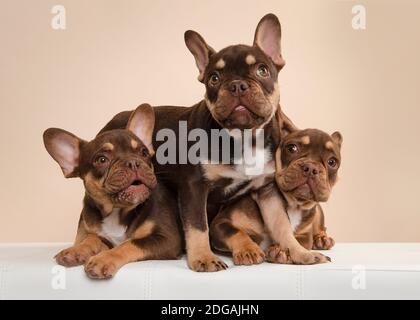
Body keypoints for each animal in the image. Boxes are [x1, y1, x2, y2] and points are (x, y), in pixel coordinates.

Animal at [43, 104, 181, 278]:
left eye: (143, 152)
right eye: (102, 160)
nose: (133, 162)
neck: (117, 210)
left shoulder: (166, 238)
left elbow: (128, 244)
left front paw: (104, 259)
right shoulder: (103, 236)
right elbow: (92, 238)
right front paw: (76, 250)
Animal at [98, 13, 324, 272]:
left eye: (262, 70)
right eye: (214, 78)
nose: (237, 85)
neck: (244, 138)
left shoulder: (268, 191)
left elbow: (282, 226)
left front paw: (300, 253)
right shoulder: (194, 187)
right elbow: (198, 226)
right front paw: (203, 257)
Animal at [210, 125, 342, 264]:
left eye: (332, 162)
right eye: (292, 148)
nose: (311, 168)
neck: (293, 204)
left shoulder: (305, 235)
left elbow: (300, 241)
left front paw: (280, 250)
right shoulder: (221, 222)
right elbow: (236, 232)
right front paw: (249, 249)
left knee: (321, 228)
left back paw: (322, 239)